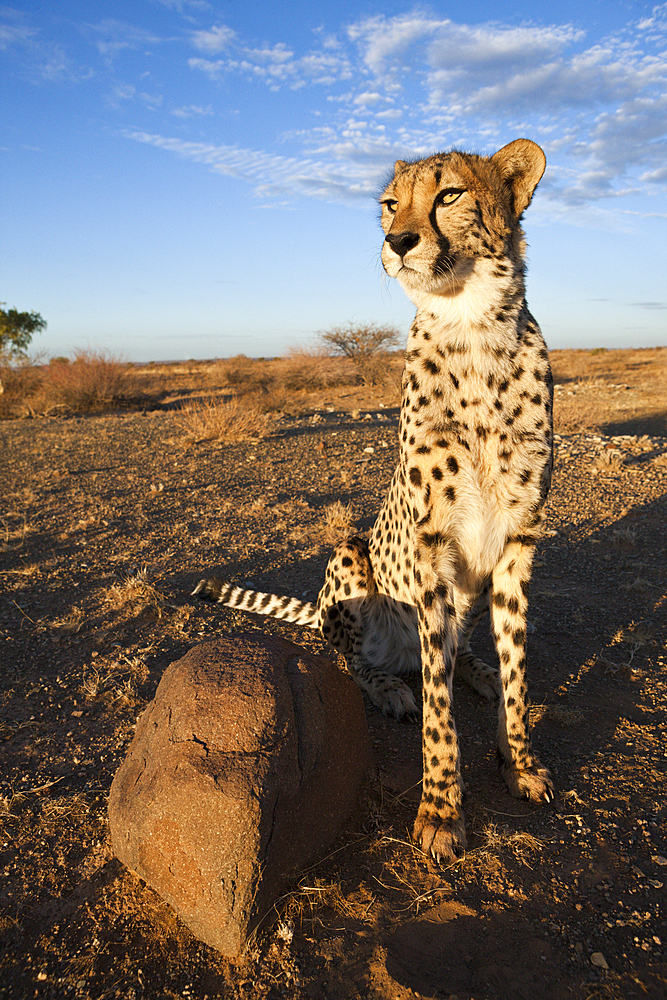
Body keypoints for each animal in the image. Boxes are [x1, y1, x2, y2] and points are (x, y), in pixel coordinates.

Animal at [196, 139, 556, 860]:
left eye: (449, 195)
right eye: (391, 204)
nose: (396, 241)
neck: (474, 327)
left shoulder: (515, 543)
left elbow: (517, 665)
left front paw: (519, 760)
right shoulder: (431, 549)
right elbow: (438, 712)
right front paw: (441, 810)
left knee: (457, 652)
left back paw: (473, 668)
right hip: (349, 557)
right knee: (352, 657)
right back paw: (389, 682)